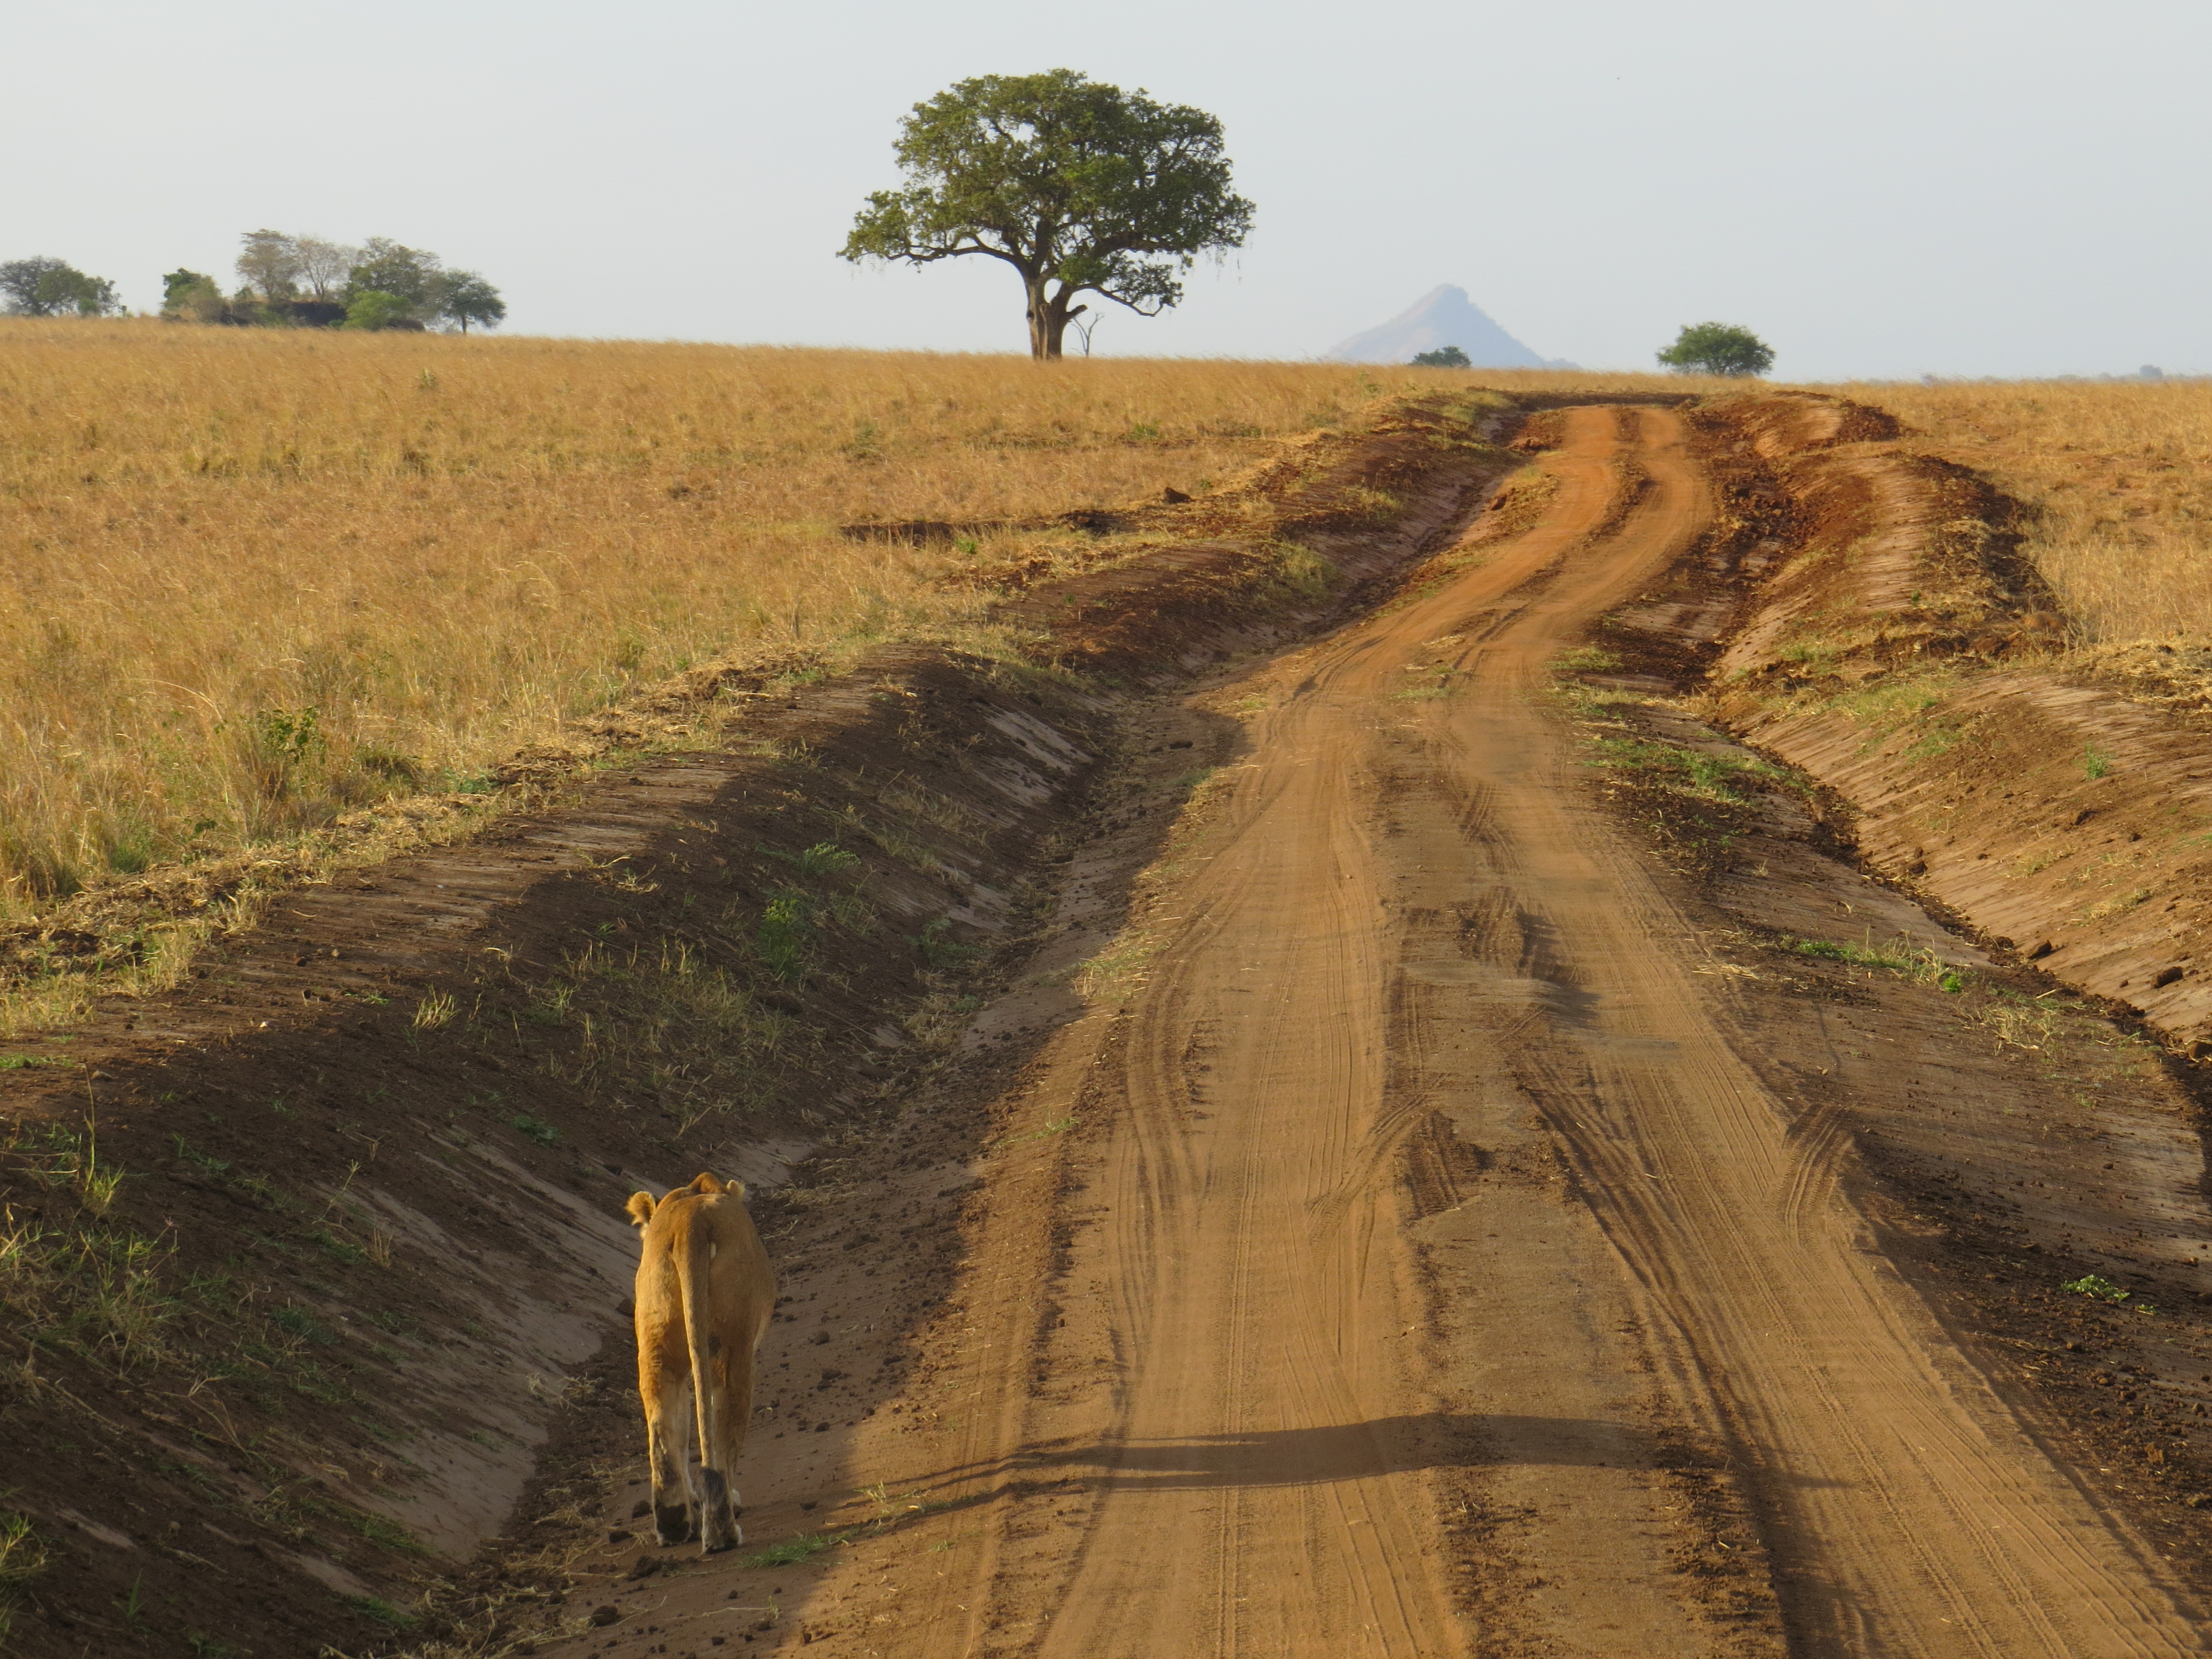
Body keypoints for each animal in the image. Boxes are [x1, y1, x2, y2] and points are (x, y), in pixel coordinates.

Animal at [624, 1177, 779, 1557]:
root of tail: (688, 1223)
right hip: (734, 1347)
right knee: (723, 1437)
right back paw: (723, 1528)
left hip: (657, 1344)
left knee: (662, 1424)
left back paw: (674, 1522)